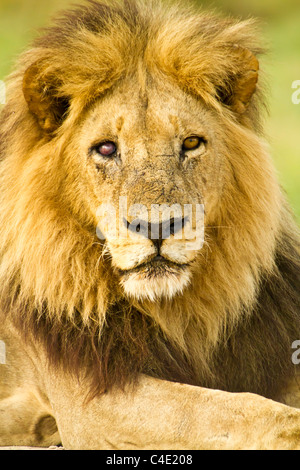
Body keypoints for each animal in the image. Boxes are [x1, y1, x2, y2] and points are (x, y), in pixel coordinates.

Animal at [0, 0, 300, 450]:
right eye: (106, 148)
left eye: (191, 143)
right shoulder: (88, 404)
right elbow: (228, 411)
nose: (158, 227)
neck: (178, 313)